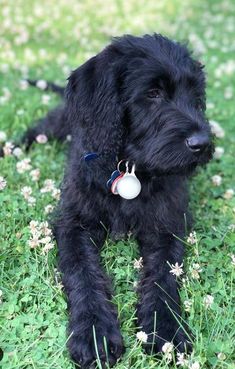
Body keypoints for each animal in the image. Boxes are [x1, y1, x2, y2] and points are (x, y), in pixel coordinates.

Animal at [16, 33, 213, 366]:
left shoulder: (167, 225)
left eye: (195, 94)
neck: (129, 166)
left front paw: (166, 329)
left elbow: (163, 276)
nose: (203, 144)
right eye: (153, 93)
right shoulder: (73, 223)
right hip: (59, 123)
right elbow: (82, 271)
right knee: (37, 130)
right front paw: (94, 331)